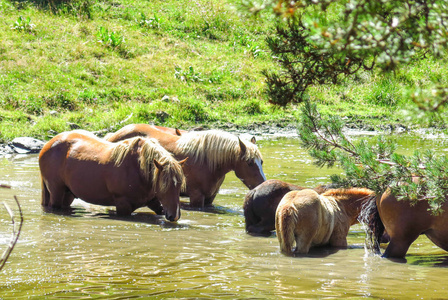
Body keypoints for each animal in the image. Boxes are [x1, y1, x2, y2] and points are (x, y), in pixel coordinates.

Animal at [39, 131, 186, 220]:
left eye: (179, 185)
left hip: (68, 194)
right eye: (164, 185)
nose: (174, 216)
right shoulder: (123, 205)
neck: (138, 168)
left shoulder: (153, 201)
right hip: (56, 192)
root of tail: (48, 144)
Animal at [106, 123, 266, 207]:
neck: (208, 163)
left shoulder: (210, 198)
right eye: (249, 163)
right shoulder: (196, 197)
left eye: (261, 162)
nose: (263, 183)